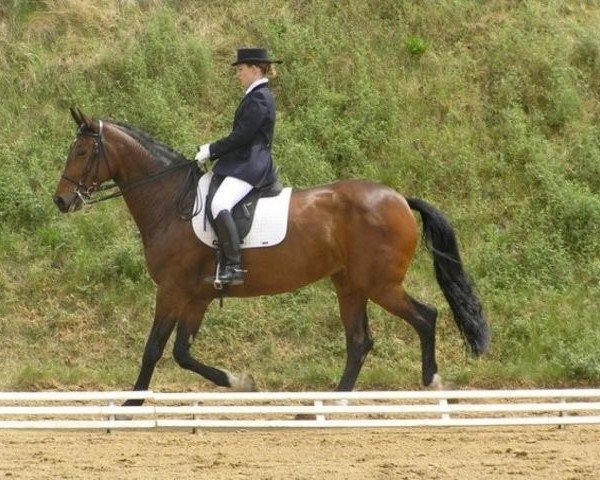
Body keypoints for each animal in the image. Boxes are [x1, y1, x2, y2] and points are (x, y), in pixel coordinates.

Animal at [54, 109, 490, 404]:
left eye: (82, 151)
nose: (61, 201)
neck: (170, 202)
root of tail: (398, 197)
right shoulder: (198, 296)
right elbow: (182, 352)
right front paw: (241, 382)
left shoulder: (173, 290)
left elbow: (153, 350)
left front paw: (129, 407)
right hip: (349, 285)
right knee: (359, 342)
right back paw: (324, 406)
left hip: (379, 283)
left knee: (424, 317)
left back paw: (432, 382)